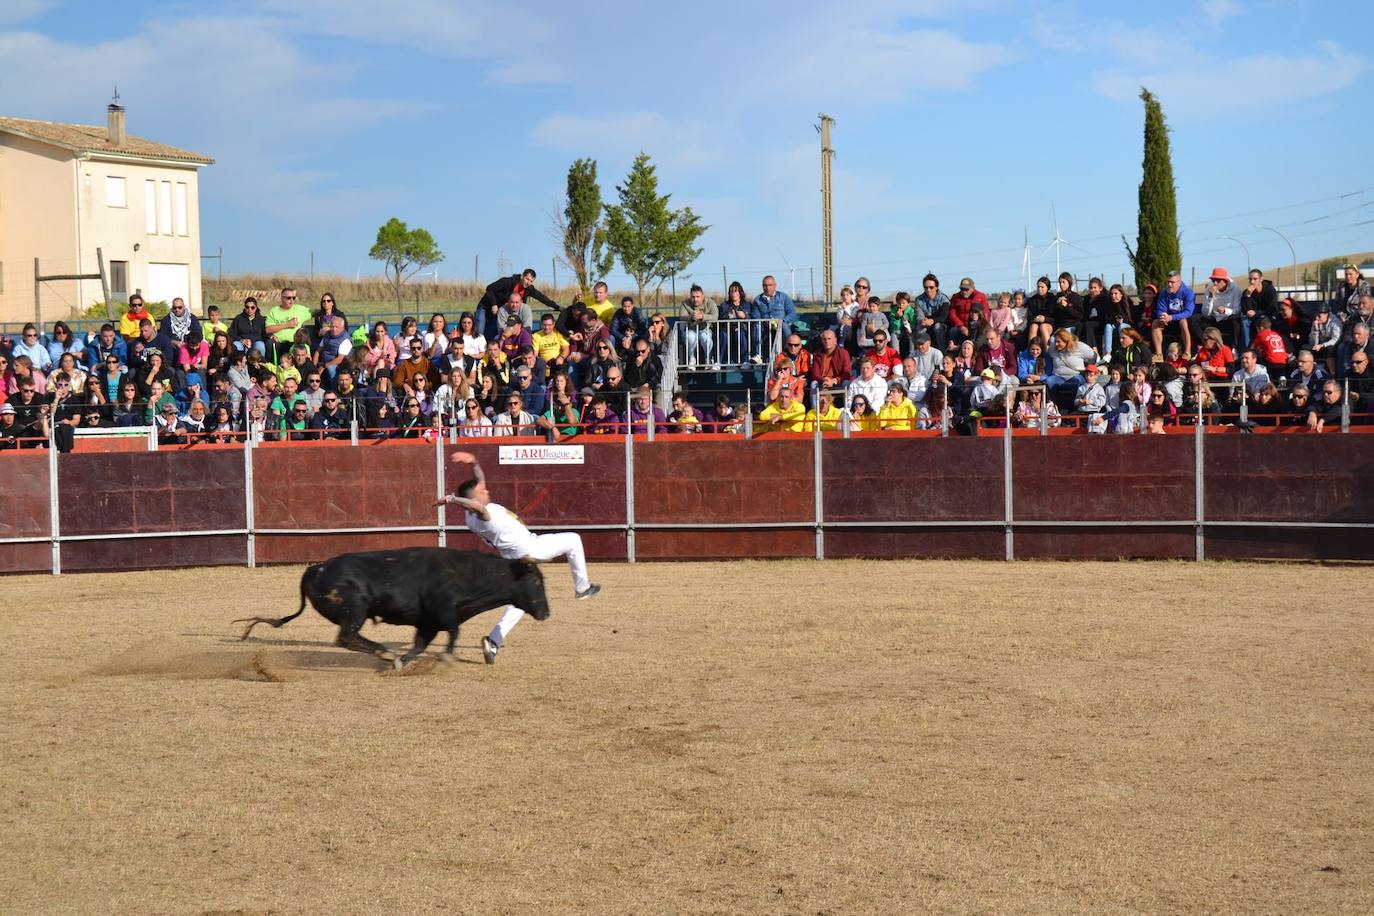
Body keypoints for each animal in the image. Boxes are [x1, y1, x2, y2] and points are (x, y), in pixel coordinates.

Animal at [237, 549, 552, 670]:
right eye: (536, 580)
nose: (547, 613)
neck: (467, 574)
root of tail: (314, 569)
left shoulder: (428, 623)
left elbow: (421, 644)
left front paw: (402, 662)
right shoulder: (445, 614)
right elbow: (453, 633)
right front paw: (445, 658)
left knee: (348, 639)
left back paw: (388, 655)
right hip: (356, 610)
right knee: (346, 637)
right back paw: (384, 651)